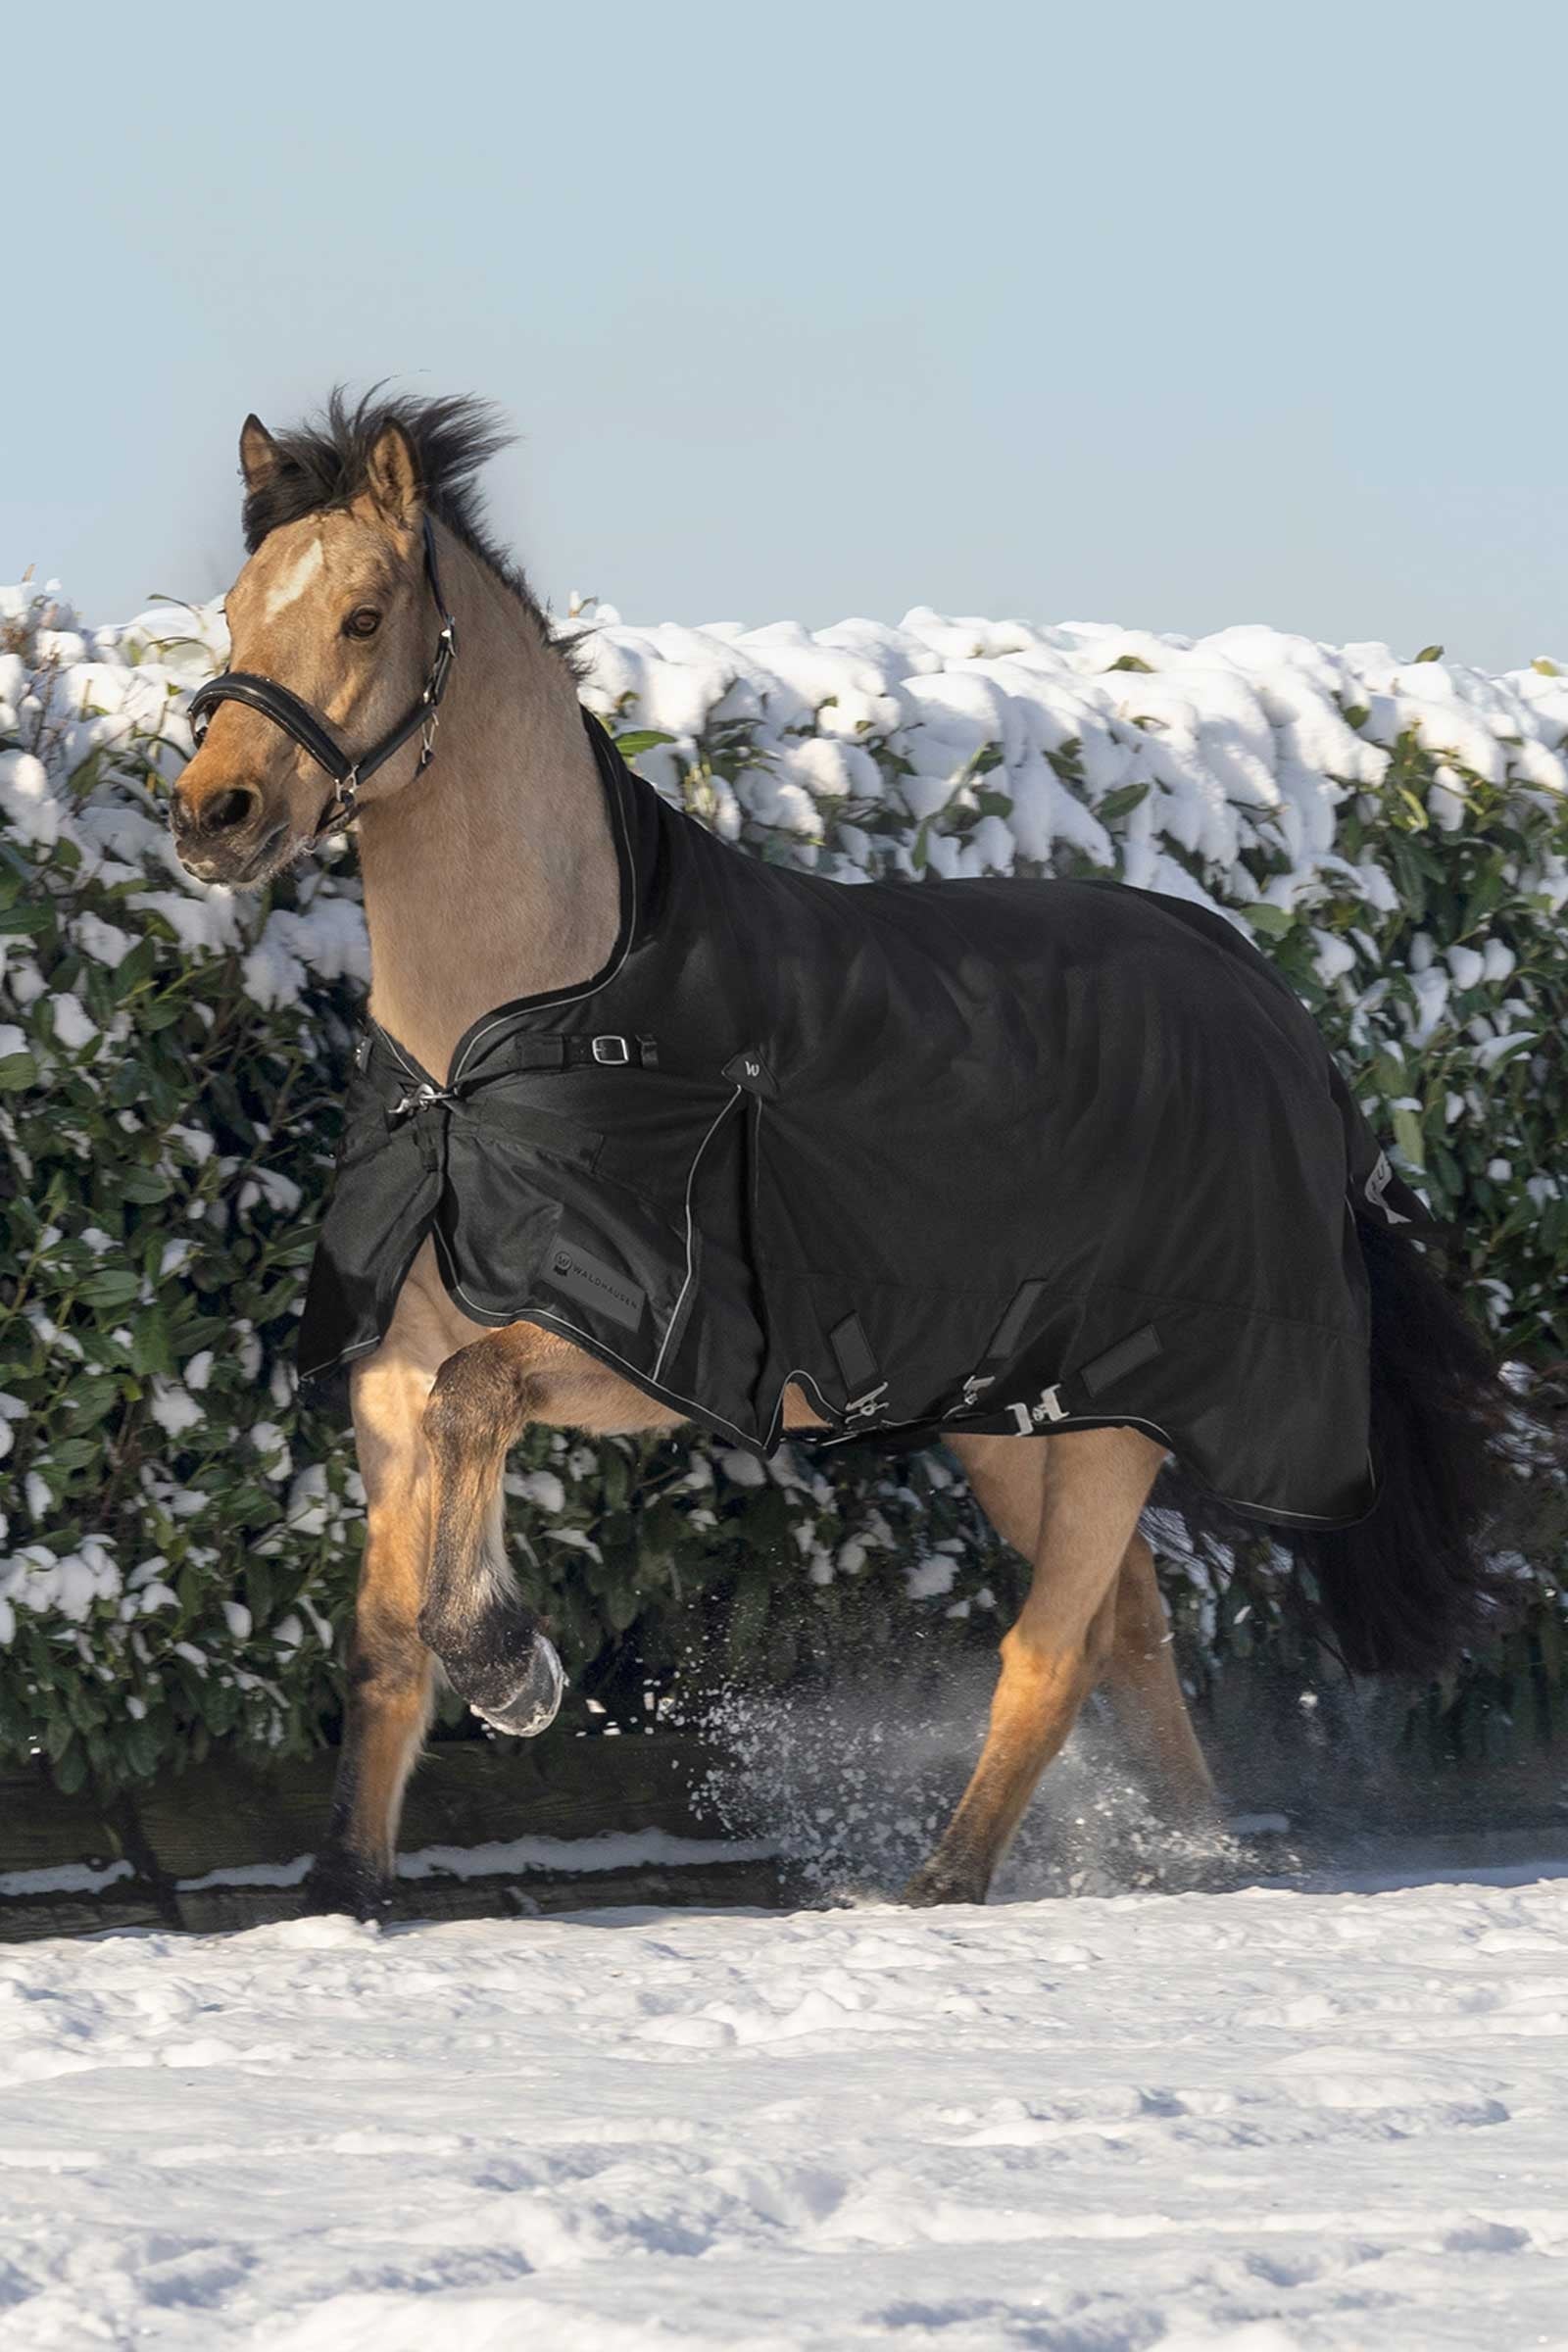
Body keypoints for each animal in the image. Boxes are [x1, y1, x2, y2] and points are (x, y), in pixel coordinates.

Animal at [169, 391, 1506, 1918]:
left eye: (363, 615)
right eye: (233, 609)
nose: (211, 814)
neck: (500, 1047)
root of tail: (1284, 1022)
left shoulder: (633, 1352)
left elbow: (475, 1412)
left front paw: (515, 1669)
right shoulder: (388, 1367)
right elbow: (387, 1636)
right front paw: (345, 1885)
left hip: (1122, 1420)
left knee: (1053, 1652)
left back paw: (947, 1885)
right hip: (1014, 1418)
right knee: (1131, 1634)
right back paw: (1193, 1861)